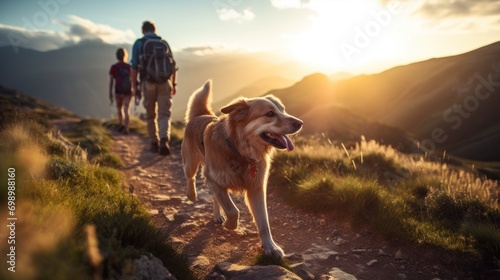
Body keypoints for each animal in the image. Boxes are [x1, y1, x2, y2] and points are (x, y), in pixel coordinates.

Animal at [182, 79, 302, 258]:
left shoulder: (257, 188)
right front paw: (229, 225)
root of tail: (200, 115)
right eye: (270, 114)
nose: (300, 123)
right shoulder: (214, 179)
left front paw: (270, 247)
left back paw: (217, 216)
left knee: (214, 198)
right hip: (191, 163)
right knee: (190, 177)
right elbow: (233, 210)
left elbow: (263, 221)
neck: (239, 150)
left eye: (283, 110)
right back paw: (191, 195)